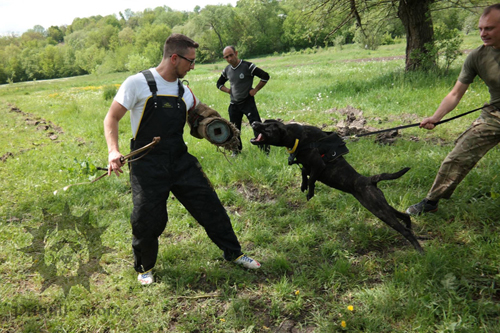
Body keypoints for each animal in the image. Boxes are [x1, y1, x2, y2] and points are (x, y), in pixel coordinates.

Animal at [250, 119, 422, 252]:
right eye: (264, 122)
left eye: (268, 127)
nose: (254, 122)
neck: (297, 138)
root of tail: (370, 180)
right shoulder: (307, 166)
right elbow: (304, 174)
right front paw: (303, 186)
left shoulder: (318, 166)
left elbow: (311, 179)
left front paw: (310, 192)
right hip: (380, 205)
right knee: (404, 216)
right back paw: (410, 227)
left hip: (378, 208)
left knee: (404, 231)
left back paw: (419, 249)